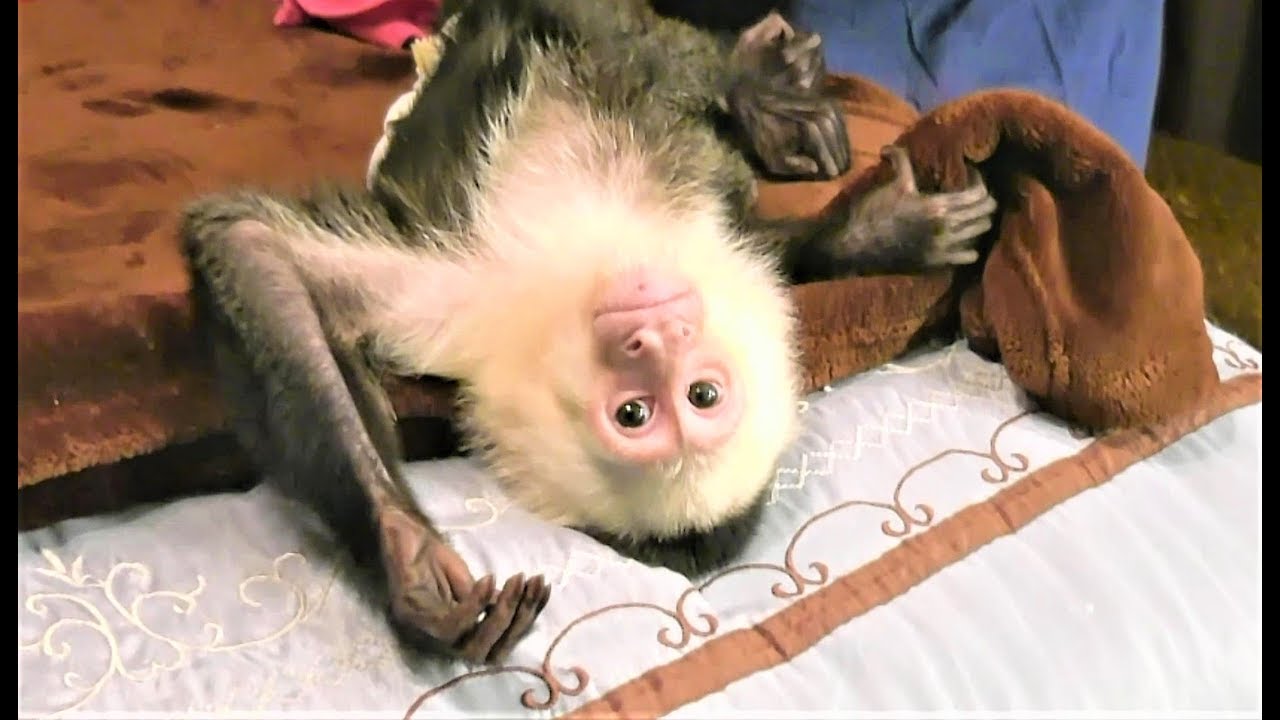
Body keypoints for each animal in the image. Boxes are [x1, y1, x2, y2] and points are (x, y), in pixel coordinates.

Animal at [179, 0, 996, 667]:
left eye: (695, 397)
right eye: (638, 412)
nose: (653, 333)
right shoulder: (462, 296)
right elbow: (252, 250)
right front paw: (410, 559)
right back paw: (758, 85)